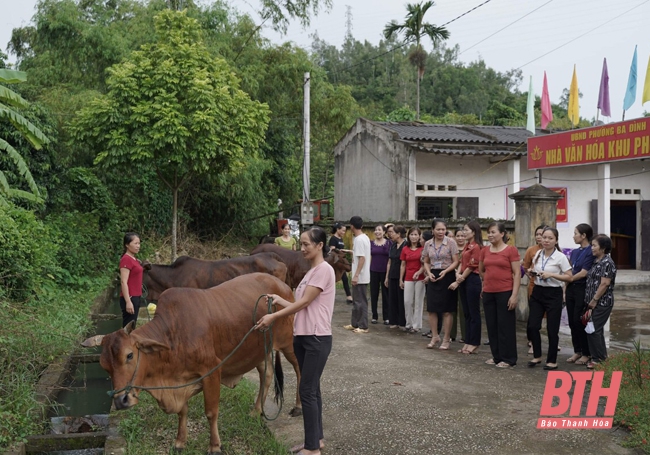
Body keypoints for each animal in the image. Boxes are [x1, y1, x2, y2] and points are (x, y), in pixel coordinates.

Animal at [81, 274, 296, 455]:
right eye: (104, 366)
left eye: (129, 355)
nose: (120, 401)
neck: (173, 335)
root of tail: (283, 284)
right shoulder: (180, 381)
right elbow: (182, 412)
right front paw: (180, 442)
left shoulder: (211, 371)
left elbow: (211, 412)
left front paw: (214, 446)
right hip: (261, 350)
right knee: (266, 375)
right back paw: (256, 411)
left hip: (288, 343)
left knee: (299, 370)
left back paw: (297, 408)